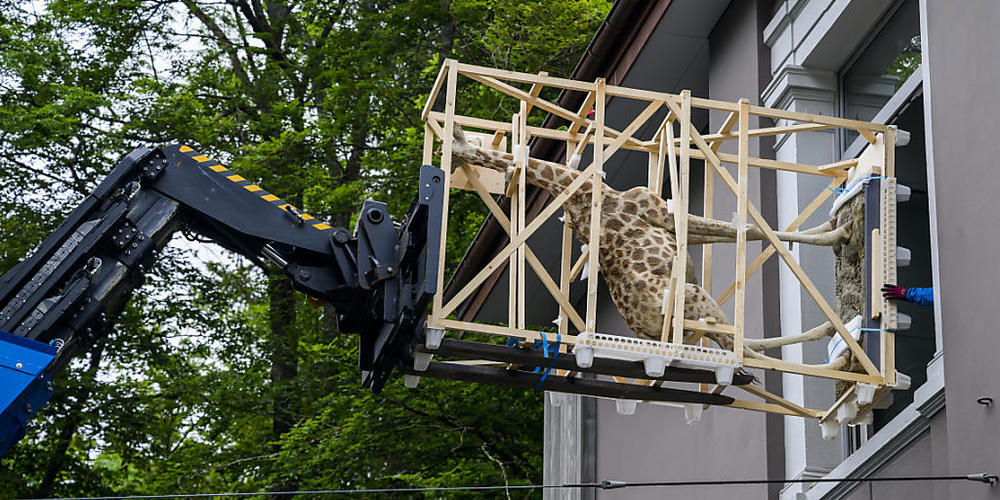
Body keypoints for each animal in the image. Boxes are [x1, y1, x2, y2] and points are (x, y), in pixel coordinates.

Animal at [451, 127, 850, 367]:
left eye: (457, 150)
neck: (577, 190)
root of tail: (646, 330)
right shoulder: (660, 212)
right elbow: (751, 229)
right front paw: (836, 232)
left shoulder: (670, 222)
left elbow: (744, 231)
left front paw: (832, 225)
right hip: (692, 297)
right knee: (741, 352)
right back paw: (837, 359)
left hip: (690, 319)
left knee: (734, 344)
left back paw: (829, 335)